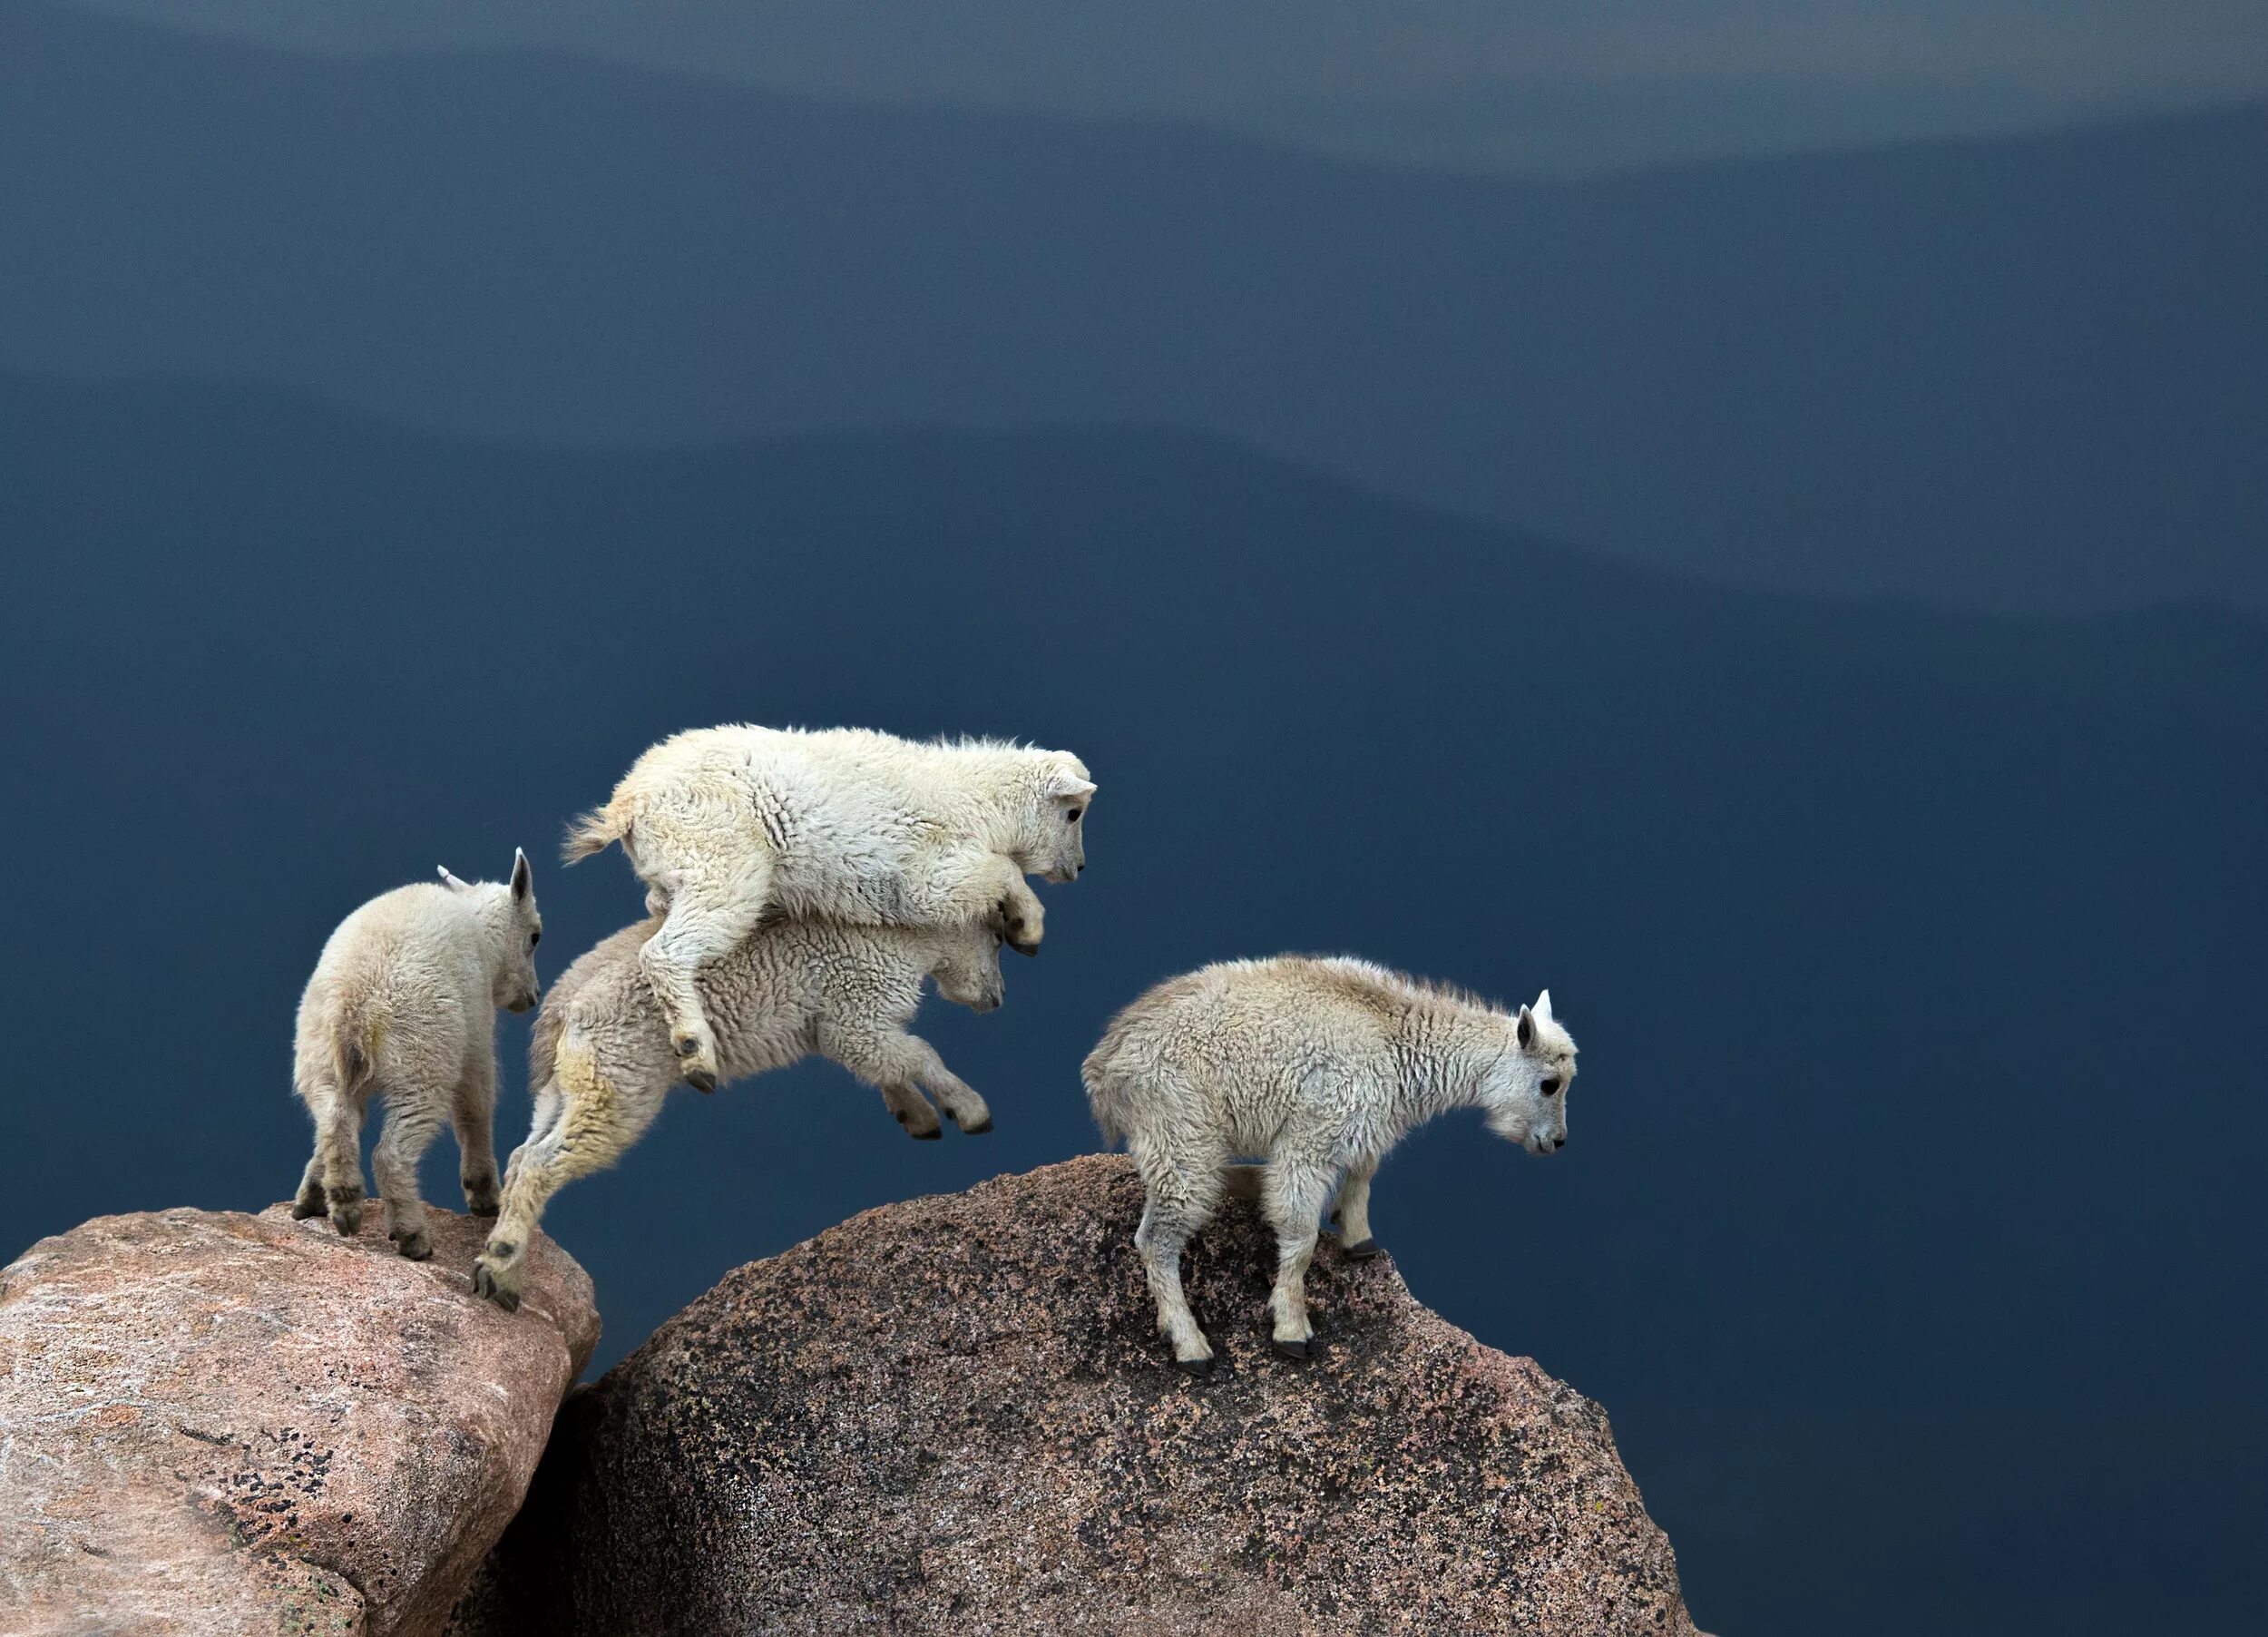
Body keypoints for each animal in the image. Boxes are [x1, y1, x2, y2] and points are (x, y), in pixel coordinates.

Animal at [290, 848, 542, 1260]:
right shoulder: (475, 1040)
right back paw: (412, 1236)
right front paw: (484, 1195)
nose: (532, 996)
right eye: (535, 936)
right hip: (421, 1062)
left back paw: (342, 1199)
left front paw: (312, 1193)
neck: (484, 943)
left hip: (320, 1059)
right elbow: (476, 1108)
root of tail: (354, 1003)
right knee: (391, 1153)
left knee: (335, 1120)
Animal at [474, 907, 1007, 1297]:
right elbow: (917, 1055)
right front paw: (970, 1109)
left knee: (524, 1154)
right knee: (544, 1162)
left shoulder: (845, 1029)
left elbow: (887, 1066)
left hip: (566, 1087)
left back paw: (498, 1264)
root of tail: (564, 1010)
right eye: (999, 939)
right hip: (618, 1083)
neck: (907, 941)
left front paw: (918, 1116)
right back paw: (502, 1264)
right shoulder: (856, 1011)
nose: (998, 998)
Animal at [567, 720, 1098, 1088]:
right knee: (668, 949)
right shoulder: (922, 872)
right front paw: (1027, 928)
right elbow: (996, 874)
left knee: (660, 907)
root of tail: (629, 804)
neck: (981, 801)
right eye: (1074, 813)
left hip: (681, 866)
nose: (1078, 868)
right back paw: (695, 1049)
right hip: (720, 861)